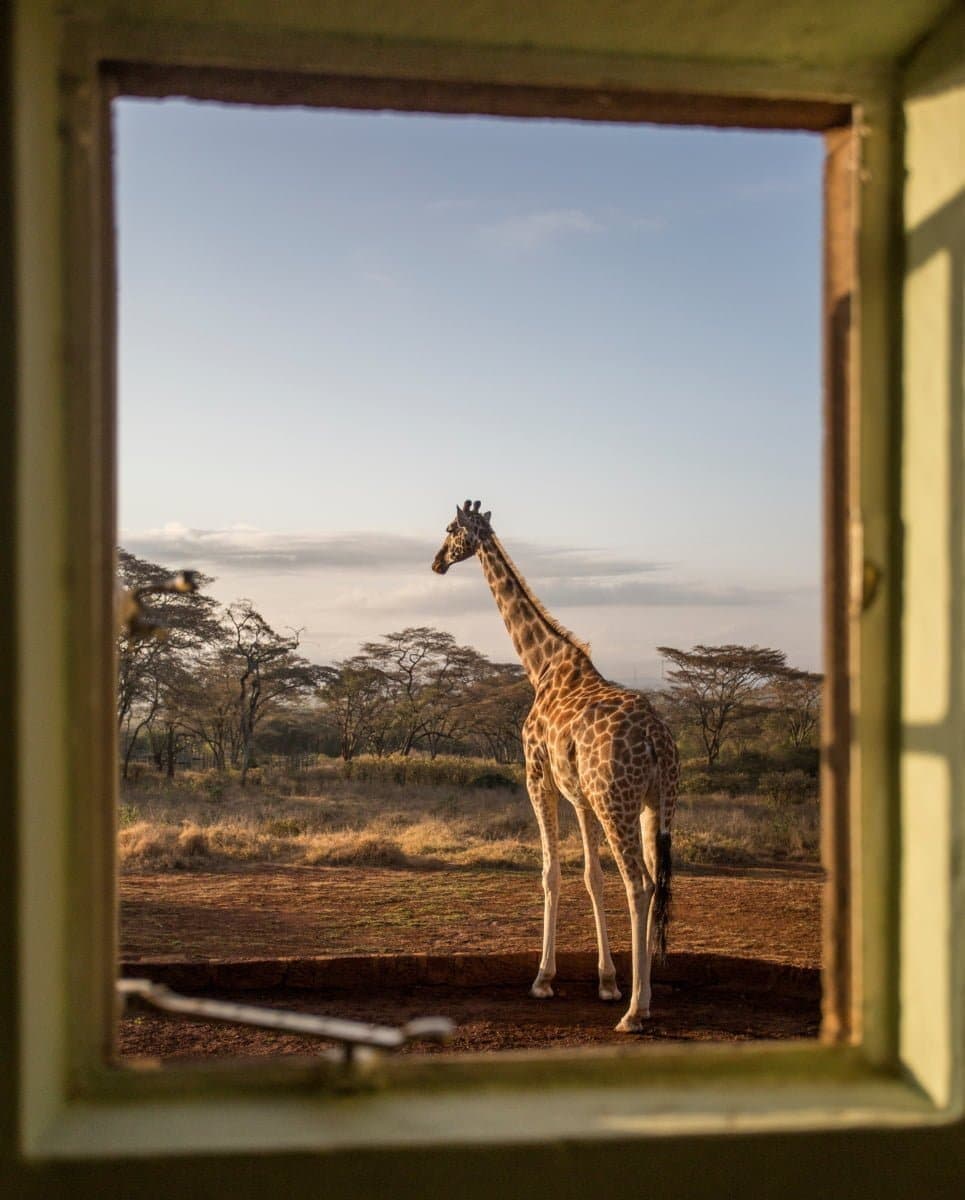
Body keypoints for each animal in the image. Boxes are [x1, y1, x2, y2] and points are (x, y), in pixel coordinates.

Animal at [432, 500, 679, 1032]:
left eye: (450, 530)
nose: (436, 563)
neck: (540, 665)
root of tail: (658, 741)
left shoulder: (536, 777)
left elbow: (551, 872)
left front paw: (543, 980)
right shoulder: (581, 796)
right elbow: (592, 877)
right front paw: (606, 982)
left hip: (617, 802)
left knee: (640, 885)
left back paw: (635, 1013)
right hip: (657, 804)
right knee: (657, 879)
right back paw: (643, 997)